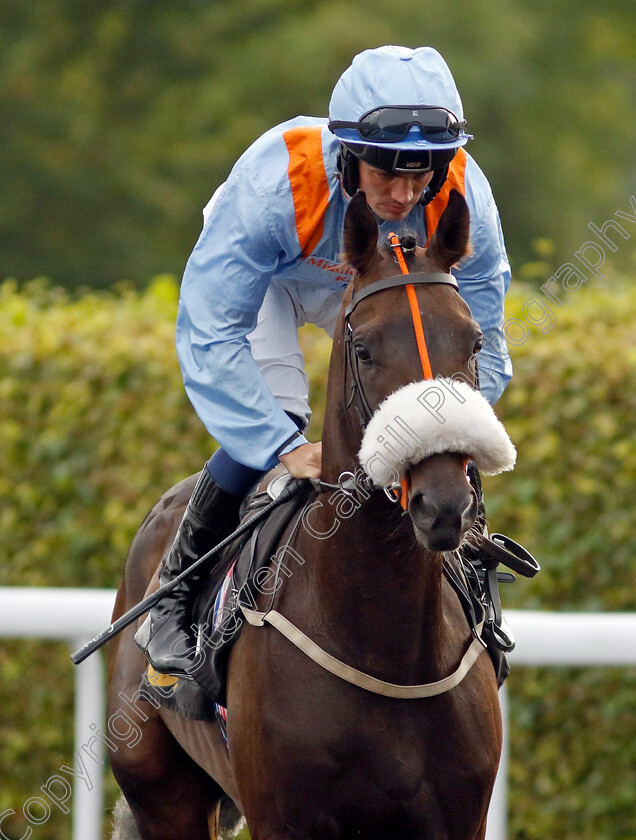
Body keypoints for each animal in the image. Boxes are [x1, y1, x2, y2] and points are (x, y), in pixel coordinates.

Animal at [105, 190, 512, 840]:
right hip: (160, 792)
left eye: (474, 343)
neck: (385, 642)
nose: (444, 501)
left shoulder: (457, 819)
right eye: (364, 349)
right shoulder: (283, 817)